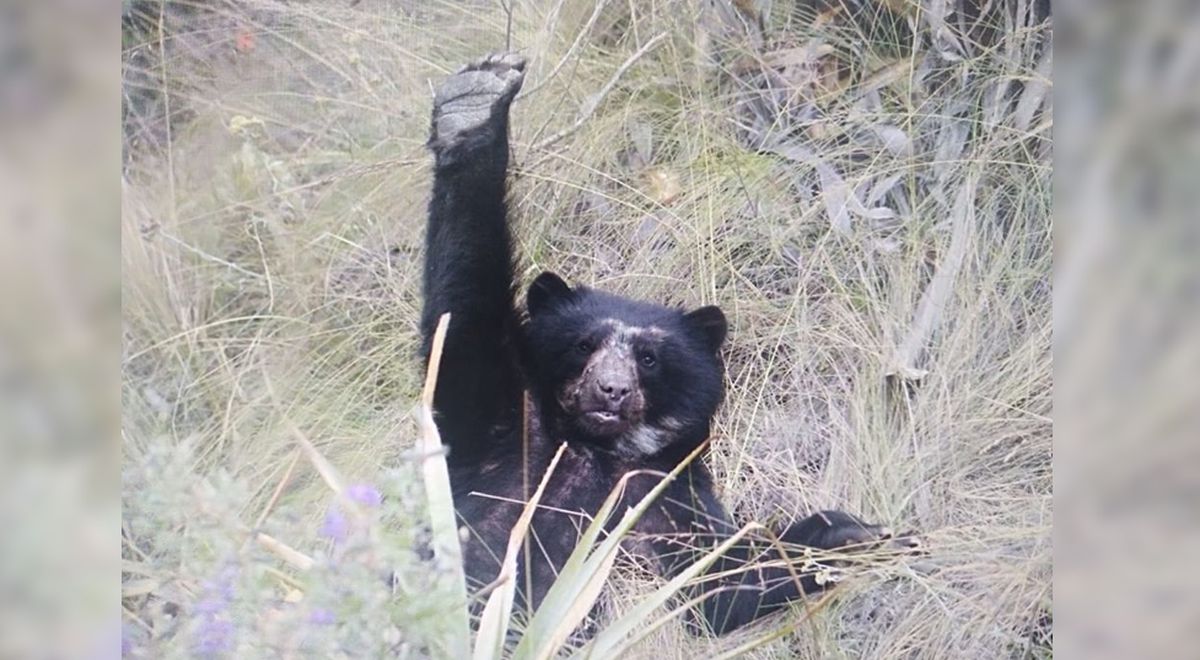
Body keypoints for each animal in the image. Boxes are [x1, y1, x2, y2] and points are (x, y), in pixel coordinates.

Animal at [422, 53, 907, 638]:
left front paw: (854, 534)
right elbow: (464, 318)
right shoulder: (505, 428)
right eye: (583, 345)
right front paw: (475, 104)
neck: (601, 451)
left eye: (648, 358)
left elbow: (720, 586)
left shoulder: (665, 496)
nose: (610, 391)